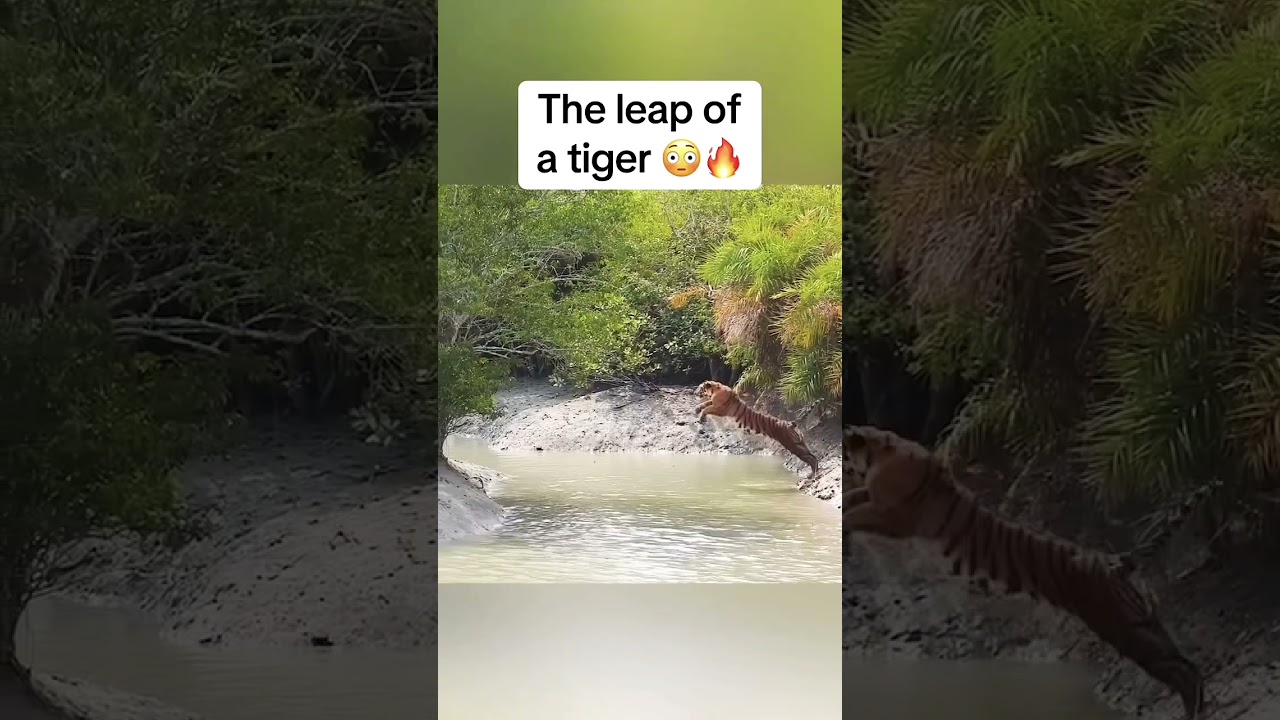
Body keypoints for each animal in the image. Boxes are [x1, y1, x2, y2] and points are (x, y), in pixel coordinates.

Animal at [843, 424, 1205, 719]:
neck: (878, 452)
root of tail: (1116, 560)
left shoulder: (893, 516)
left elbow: (855, 513)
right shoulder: (874, 498)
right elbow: (852, 500)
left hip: (1121, 628)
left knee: (1181, 672)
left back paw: (1192, 711)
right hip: (1143, 622)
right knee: (1188, 665)